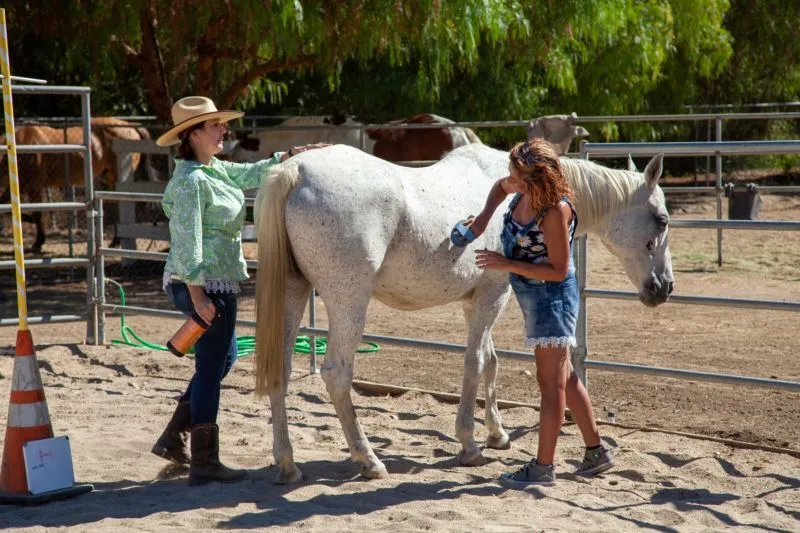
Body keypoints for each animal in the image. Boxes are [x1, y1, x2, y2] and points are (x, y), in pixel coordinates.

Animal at [1, 119, 153, 252]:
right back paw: (117, 241)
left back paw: (117, 241)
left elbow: (37, 214)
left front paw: (38, 242)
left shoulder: (33, 187)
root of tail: (131, 127)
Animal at [253, 142, 672, 482]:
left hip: (293, 294)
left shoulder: (477, 302)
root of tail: (297, 170)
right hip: (348, 302)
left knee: (280, 372)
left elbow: (491, 361)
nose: (664, 287)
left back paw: (288, 464)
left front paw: (497, 434)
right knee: (337, 375)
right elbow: (475, 362)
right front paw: (469, 445)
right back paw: (368, 460)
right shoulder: (492, 296)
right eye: (663, 219)